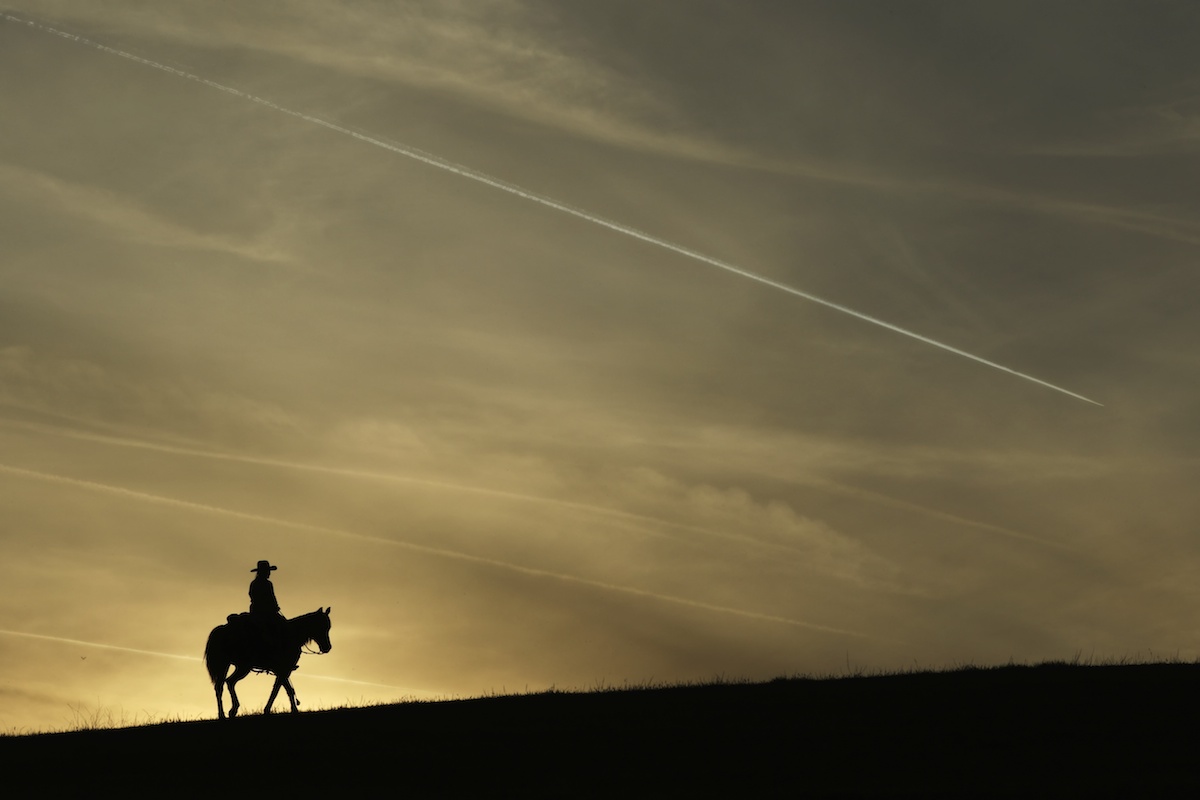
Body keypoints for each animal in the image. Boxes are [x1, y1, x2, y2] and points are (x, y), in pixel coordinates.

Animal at [202, 606, 331, 719]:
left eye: (328, 627)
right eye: (321, 626)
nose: (327, 647)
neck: (292, 636)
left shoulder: (283, 670)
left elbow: (284, 689)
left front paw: (291, 709)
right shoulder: (283, 669)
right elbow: (280, 689)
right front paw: (273, 710)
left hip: (237, 666)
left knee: (227, 683)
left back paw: (230, 711)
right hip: (231, 666)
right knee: (222, 685)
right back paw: (224, 713)